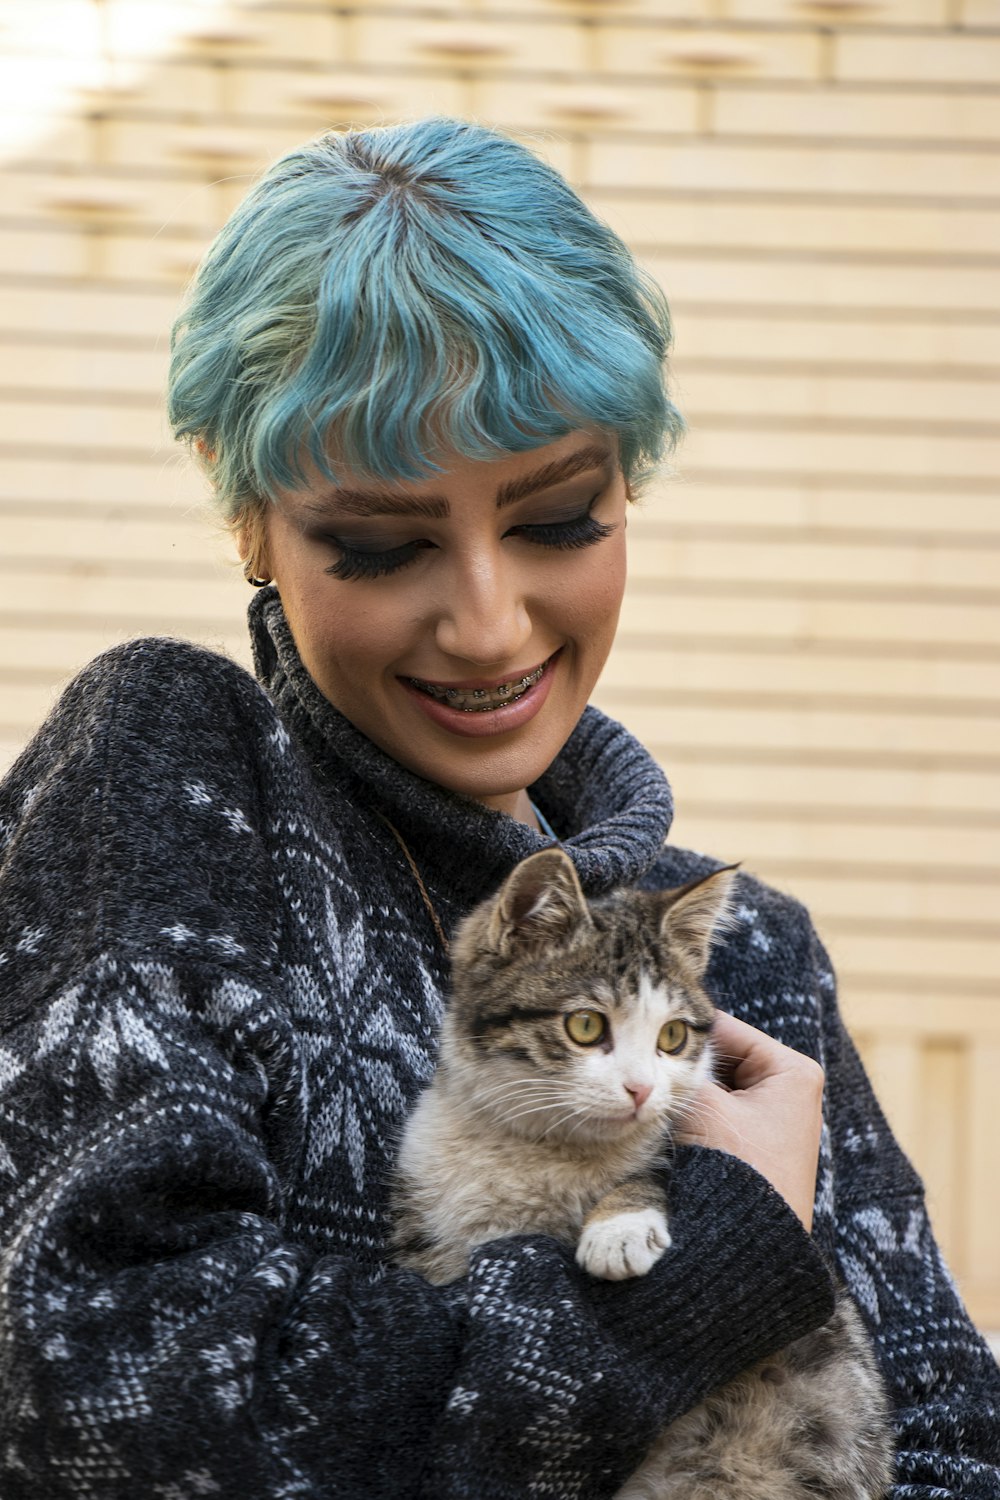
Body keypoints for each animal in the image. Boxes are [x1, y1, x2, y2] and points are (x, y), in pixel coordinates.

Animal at [389, 852, 893, 1494]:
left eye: (672, 1036)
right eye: (585, 1025)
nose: (641, 1089)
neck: (545, 1148)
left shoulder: (672, 1135)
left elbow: (648, 1169)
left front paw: (618, 1229)